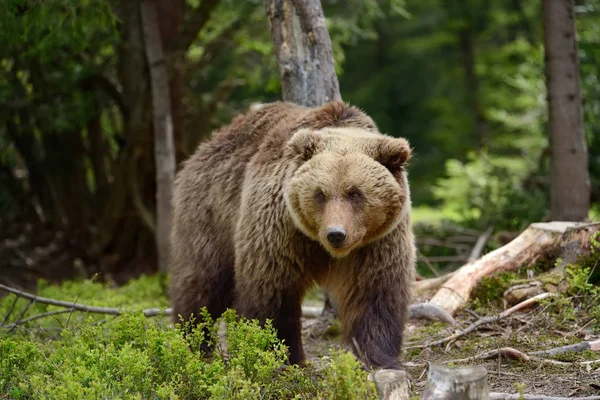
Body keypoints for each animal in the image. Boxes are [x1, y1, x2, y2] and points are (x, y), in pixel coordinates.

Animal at [166, 100, 414, 368]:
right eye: (320, 193)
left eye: (355, 193)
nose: (336, 234)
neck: (320, 246)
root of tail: (202, 148)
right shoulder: (281, 228)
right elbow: (273, 291)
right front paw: (281, 353)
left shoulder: (378, 240)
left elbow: (375, 292)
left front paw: (378, 357)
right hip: (211, 213)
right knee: (202, 282)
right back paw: (194, 340)